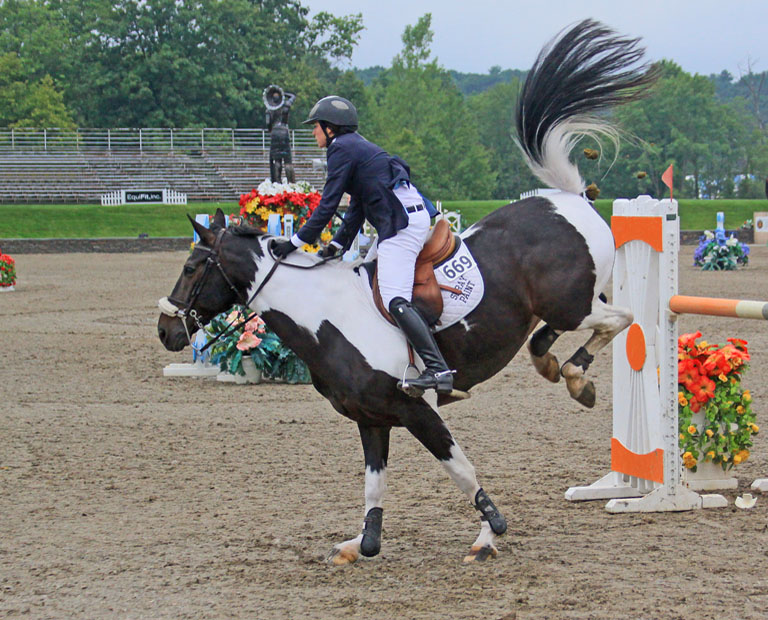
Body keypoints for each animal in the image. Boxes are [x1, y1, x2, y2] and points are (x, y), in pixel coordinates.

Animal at [157, 19, 657, 564]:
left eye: (191, 267)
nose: (165, 329)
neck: (325, 319)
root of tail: (567, 199)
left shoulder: (418, 410)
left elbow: (460, 470)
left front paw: (490, 532)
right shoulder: (372, 418)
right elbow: (374, 485)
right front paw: (363, 542)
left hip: (571, 305)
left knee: (620, 319)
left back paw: (575, 375)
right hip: (564, 306)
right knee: (556, 333)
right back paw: (555, 365)